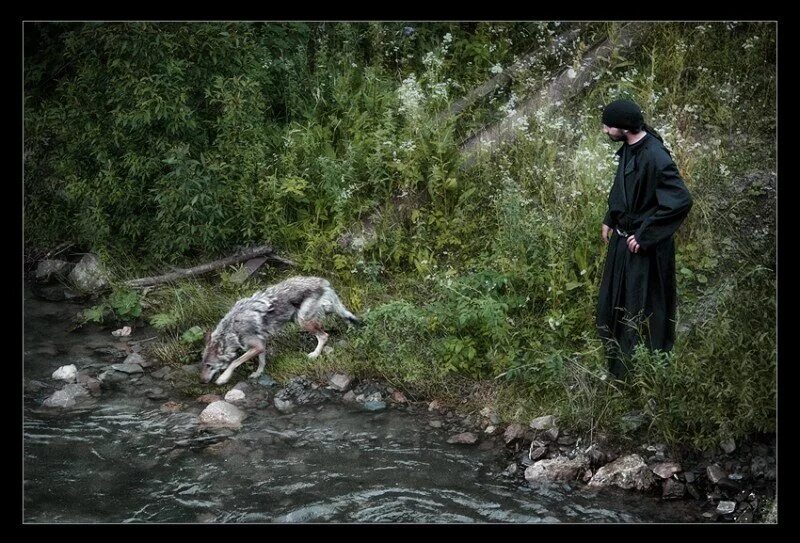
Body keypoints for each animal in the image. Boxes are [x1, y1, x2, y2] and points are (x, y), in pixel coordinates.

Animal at [198, 276, 360, 386]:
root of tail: (322, 282)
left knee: (324, 335)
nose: (202, 381)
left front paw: (222, 378)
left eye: (209, 366)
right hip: (315, 313)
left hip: (302, 321)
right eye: (203, 364)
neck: (232, 329)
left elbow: (235, 362)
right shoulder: (261, 344)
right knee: (343, 313)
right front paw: (258, 373)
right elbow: (261, 361)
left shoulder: (256, 346)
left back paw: (314, 354)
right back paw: (351, 327)